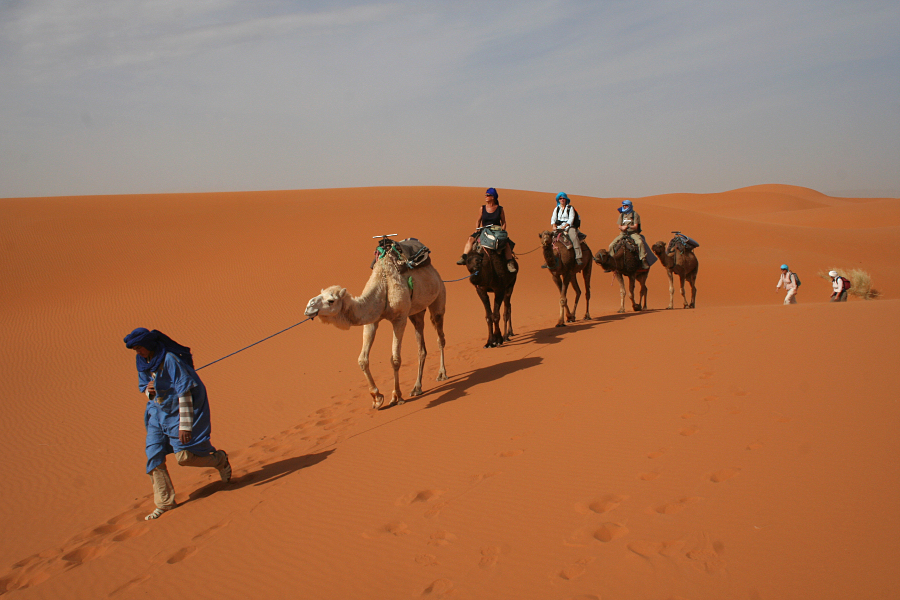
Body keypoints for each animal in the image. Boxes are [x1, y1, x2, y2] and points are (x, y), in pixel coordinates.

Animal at [304, 244, 448, 408]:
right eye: (319, 295)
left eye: (331, 300)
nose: (308, 307)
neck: (383, 283)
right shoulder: (372, 321)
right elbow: (362, 360)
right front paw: (377, 398)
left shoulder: (399, 318)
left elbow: (395, 359)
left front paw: (397, 396)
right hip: (416, 312)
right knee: (421, 346)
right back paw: (417, 388)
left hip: (438, 296)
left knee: (440, 336)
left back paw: (442, 374)